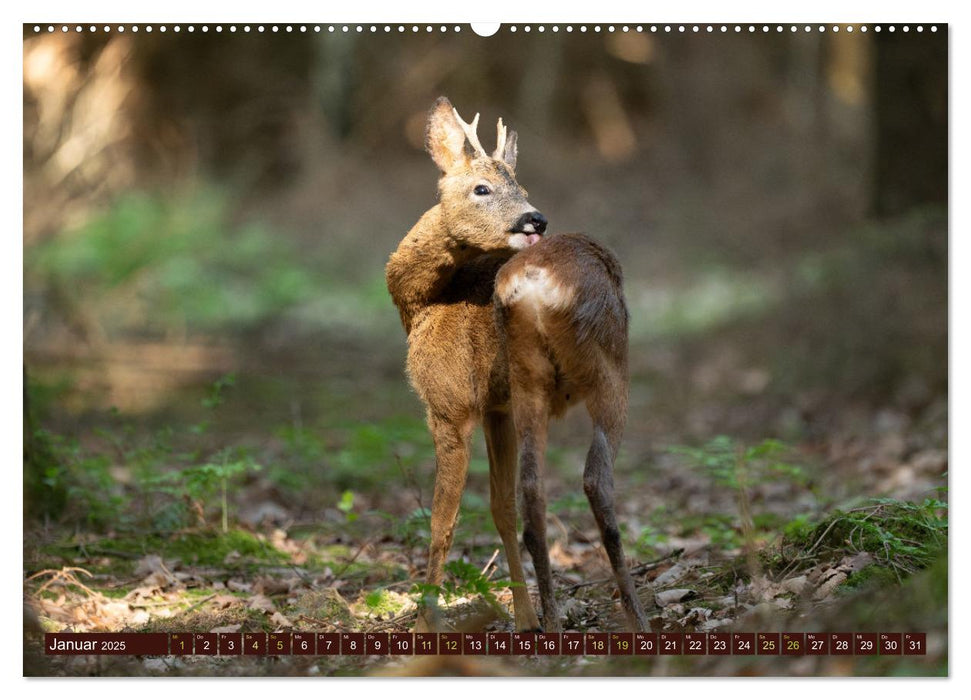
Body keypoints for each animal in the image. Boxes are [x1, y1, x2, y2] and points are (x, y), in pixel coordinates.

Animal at [384, 95, 648, 632]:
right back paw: (579, 617)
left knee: (579, 482)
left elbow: (447, 518)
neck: (421, 304)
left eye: (521, 187)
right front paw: (524, 617)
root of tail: (537, 281)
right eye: (481, 187)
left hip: (595, 372)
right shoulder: (489, 407)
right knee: (556, 486)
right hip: (569, 375)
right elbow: (496, 507)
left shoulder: (452, 405)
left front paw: (425, 625)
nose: (536, 219)